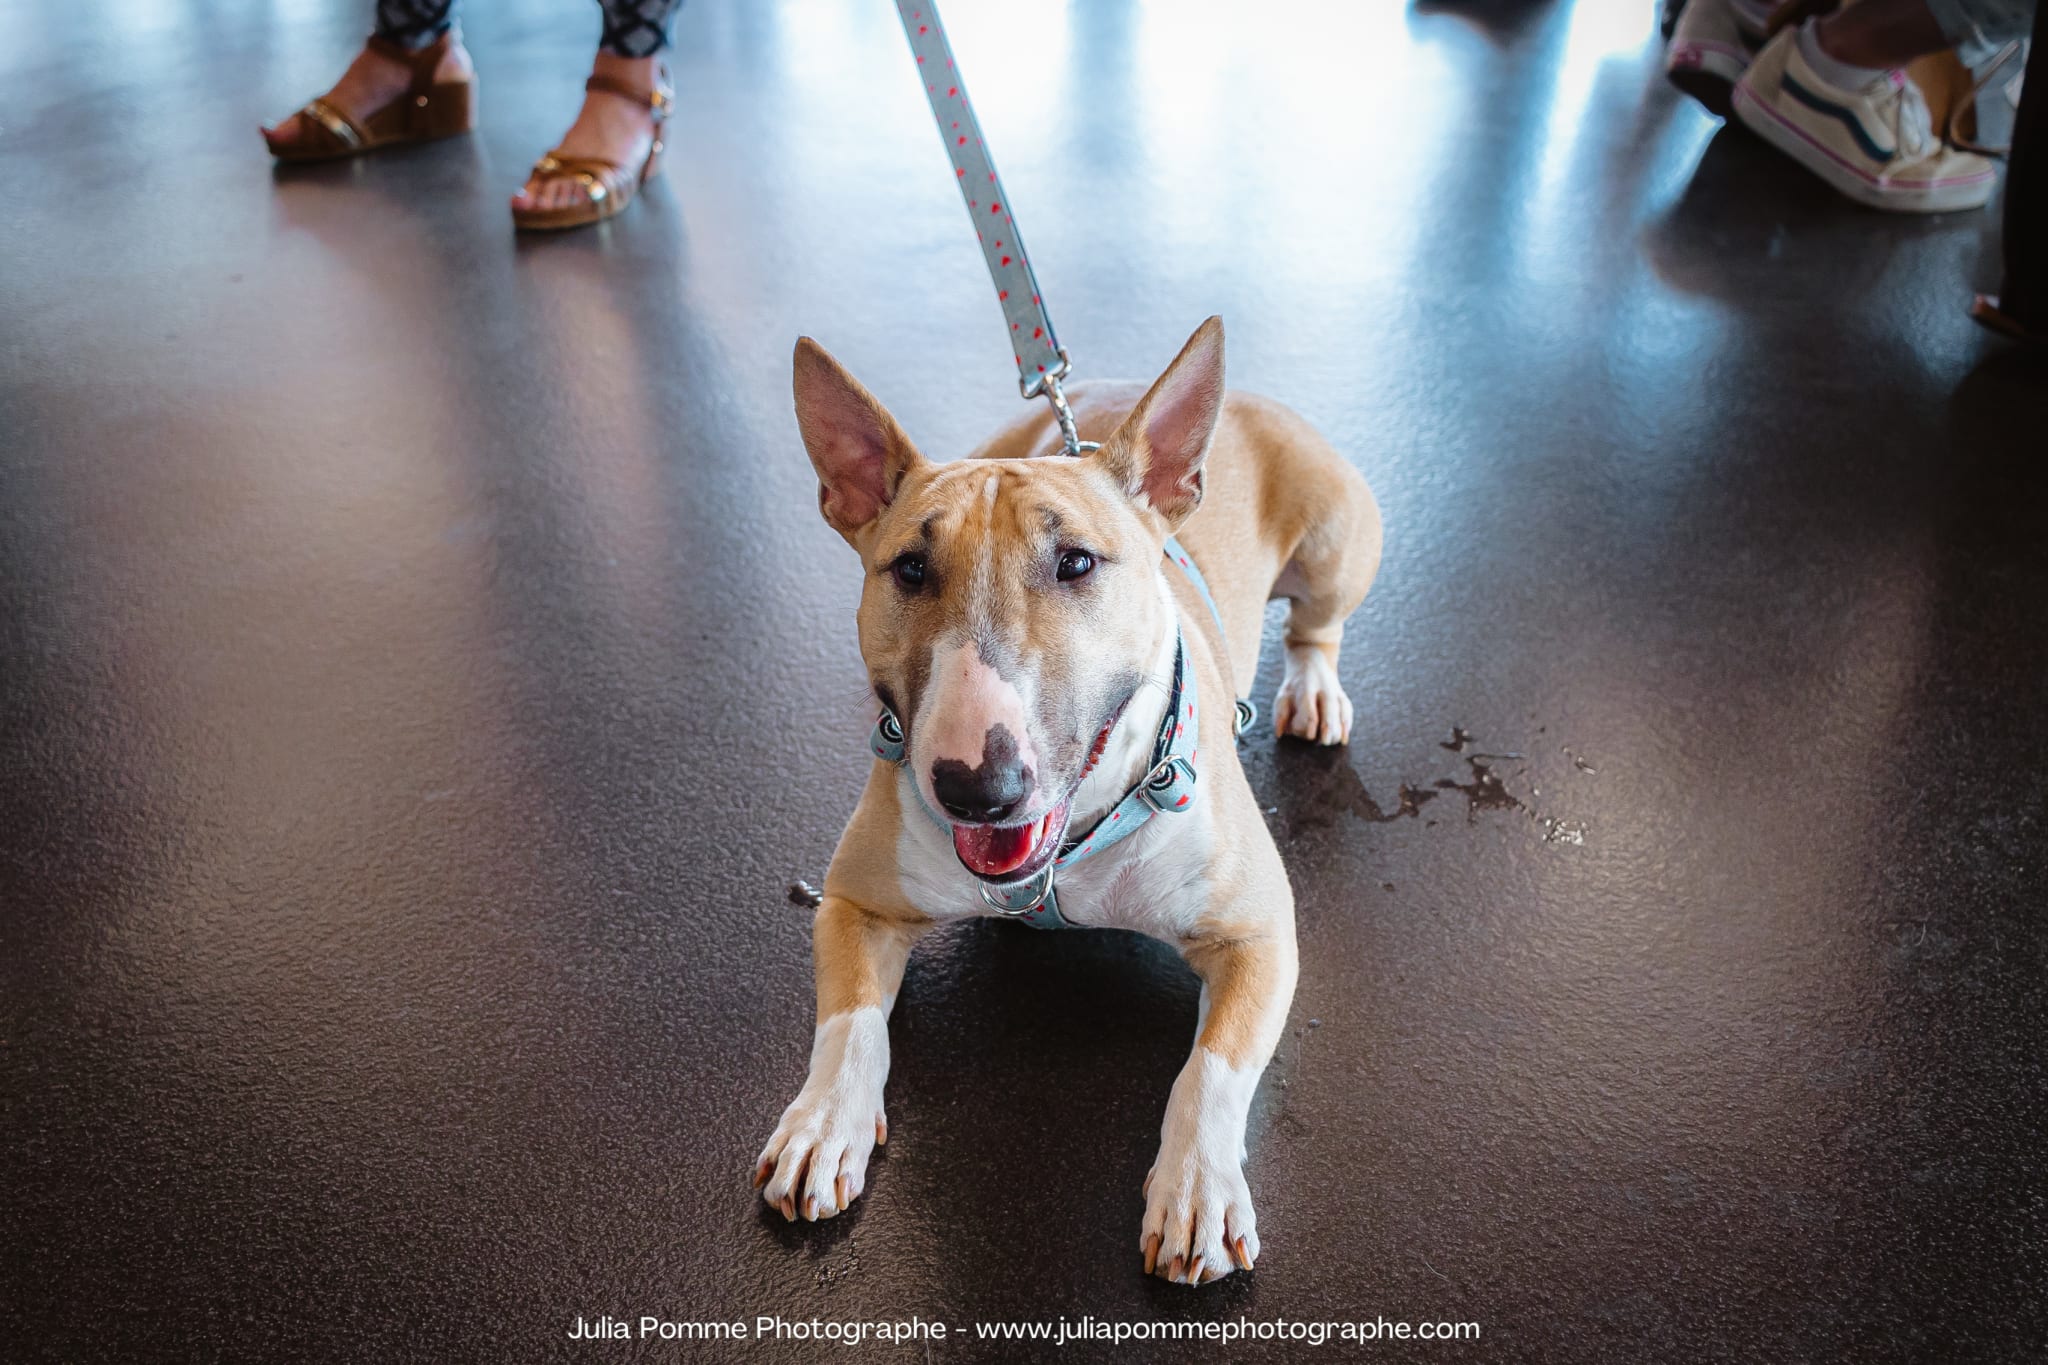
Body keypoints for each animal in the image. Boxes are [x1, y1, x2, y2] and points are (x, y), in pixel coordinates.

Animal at [761, 317, 1384, 1285]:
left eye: (1077, 562)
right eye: (910, 569)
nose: (977, 790)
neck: (1063, 858)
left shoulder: (1260, 934)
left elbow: (1211, 1068)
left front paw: (1197, 1188)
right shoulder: (855, 901)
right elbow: (850, 1020)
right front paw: (825, 1123)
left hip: (1336, 541)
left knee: (1318, 626)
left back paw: (1314, 689)